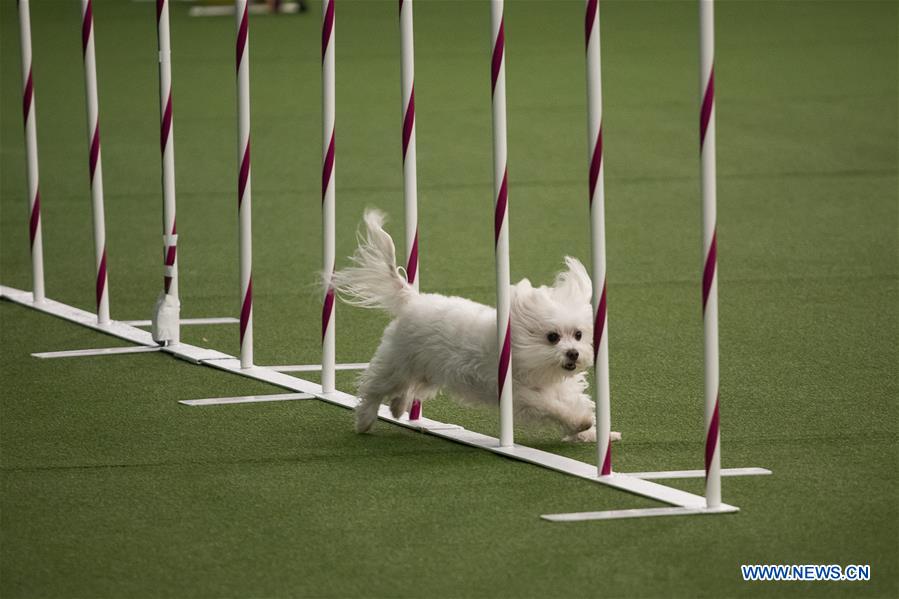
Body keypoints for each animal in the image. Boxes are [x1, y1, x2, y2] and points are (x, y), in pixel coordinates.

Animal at [330, 209, 620, 442]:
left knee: (407, 387)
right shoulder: (519, 392)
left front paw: (595, 434)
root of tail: (412, 299)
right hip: (397, 363)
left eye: (579, 334)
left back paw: (398, 407)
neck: (526, 354)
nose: (573, 354)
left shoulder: (559, 385)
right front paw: (580, 423)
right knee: (374, 388)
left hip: (426, 370)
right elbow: (553, 406)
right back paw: (365, 420)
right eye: (552, 337)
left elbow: (573, 400)